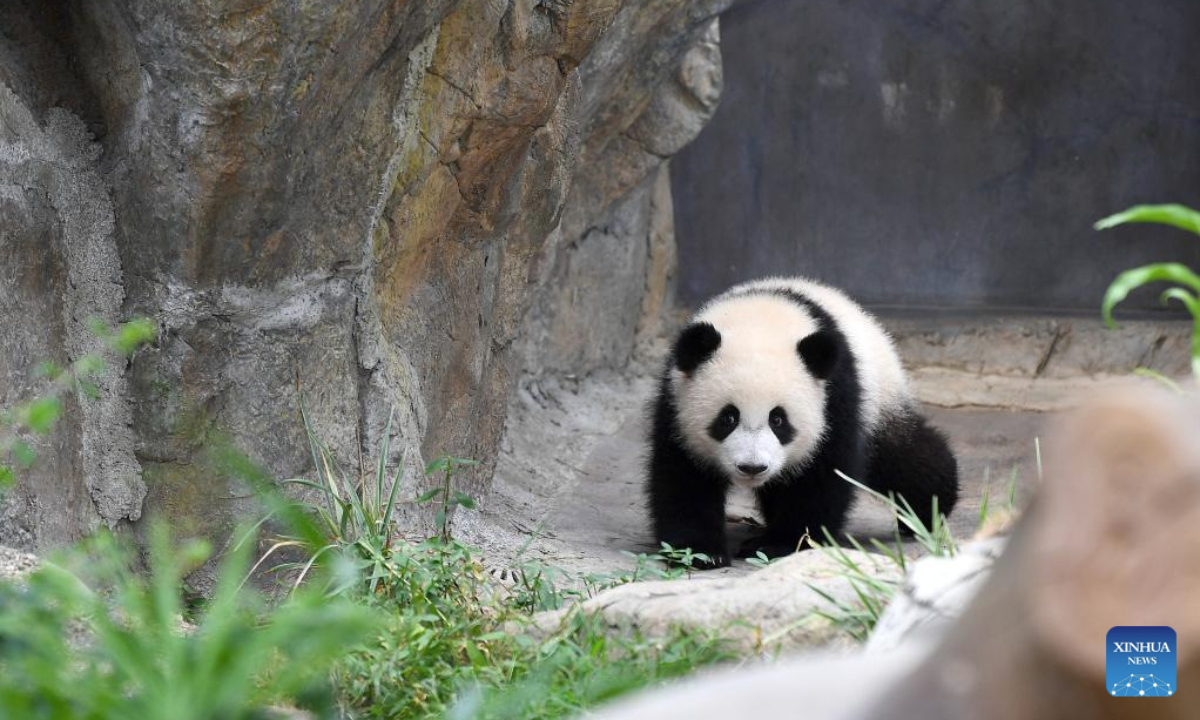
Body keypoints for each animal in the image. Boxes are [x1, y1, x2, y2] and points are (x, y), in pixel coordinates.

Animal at [646, 277, 959, 568]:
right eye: (728, 417)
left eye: (778, 419)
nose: (752, 467)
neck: (760, 320)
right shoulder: (675, 400)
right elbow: (683, 478)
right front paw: (699, 552)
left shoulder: (834, 396)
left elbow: (819, 477)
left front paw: (781, 544)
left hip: (879, 398)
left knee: (903, 457)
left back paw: (928, 511)